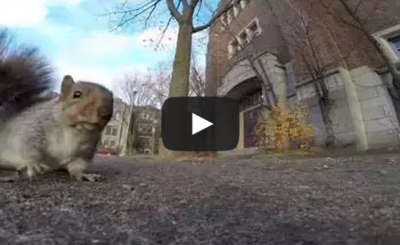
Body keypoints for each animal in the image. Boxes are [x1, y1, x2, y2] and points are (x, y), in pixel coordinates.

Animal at [0, 29, 114, 182]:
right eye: (76, 94)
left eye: (112, 100)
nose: (105, 111)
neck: (75, 131)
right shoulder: (32, 128)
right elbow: (26, 146)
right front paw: (33, 164)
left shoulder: (84, 152)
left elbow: (77, 166)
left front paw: (84, 175)